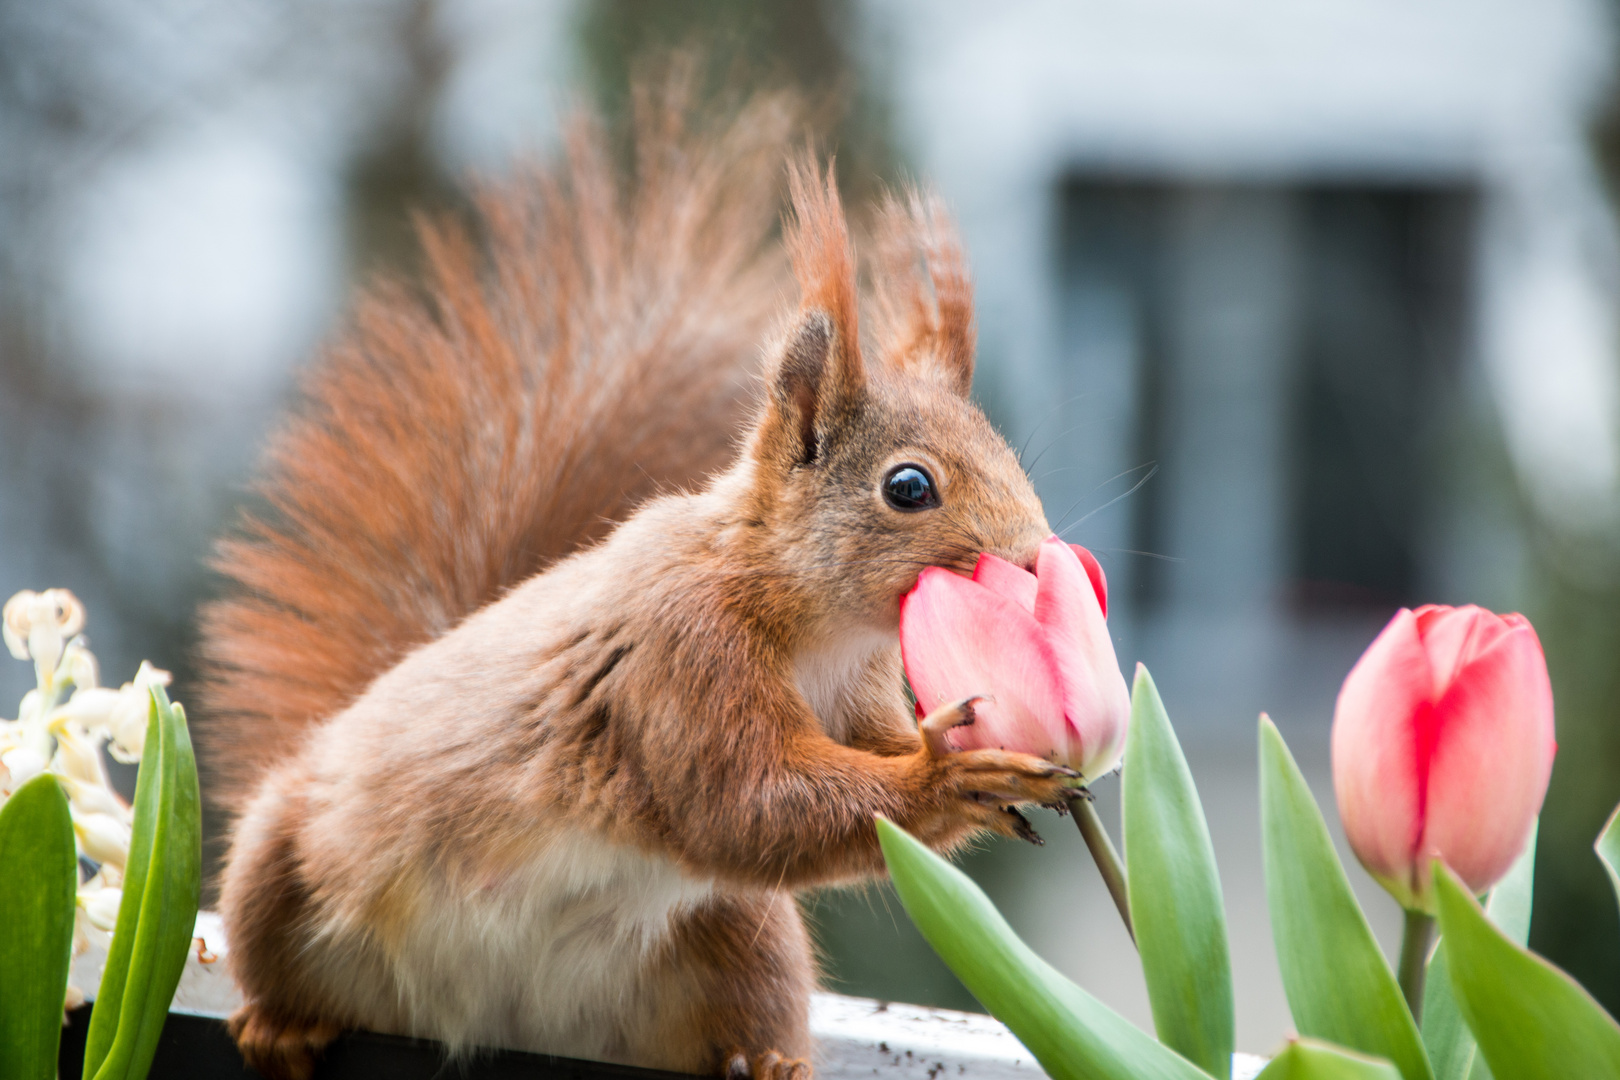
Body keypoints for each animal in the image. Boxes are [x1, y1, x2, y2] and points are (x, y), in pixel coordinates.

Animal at [196, 82, 1069, 1080]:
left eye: (1006, 451)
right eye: (909, 487)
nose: (1036, 558)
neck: (812, 623)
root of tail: (496, 1020)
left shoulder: (858, 690)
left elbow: (841, 769)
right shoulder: (680, 652)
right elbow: (748, 803)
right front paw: (948, 776)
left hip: (741, 939)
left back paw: (767, 1061)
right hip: (278, 866)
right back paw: (279, 1024)